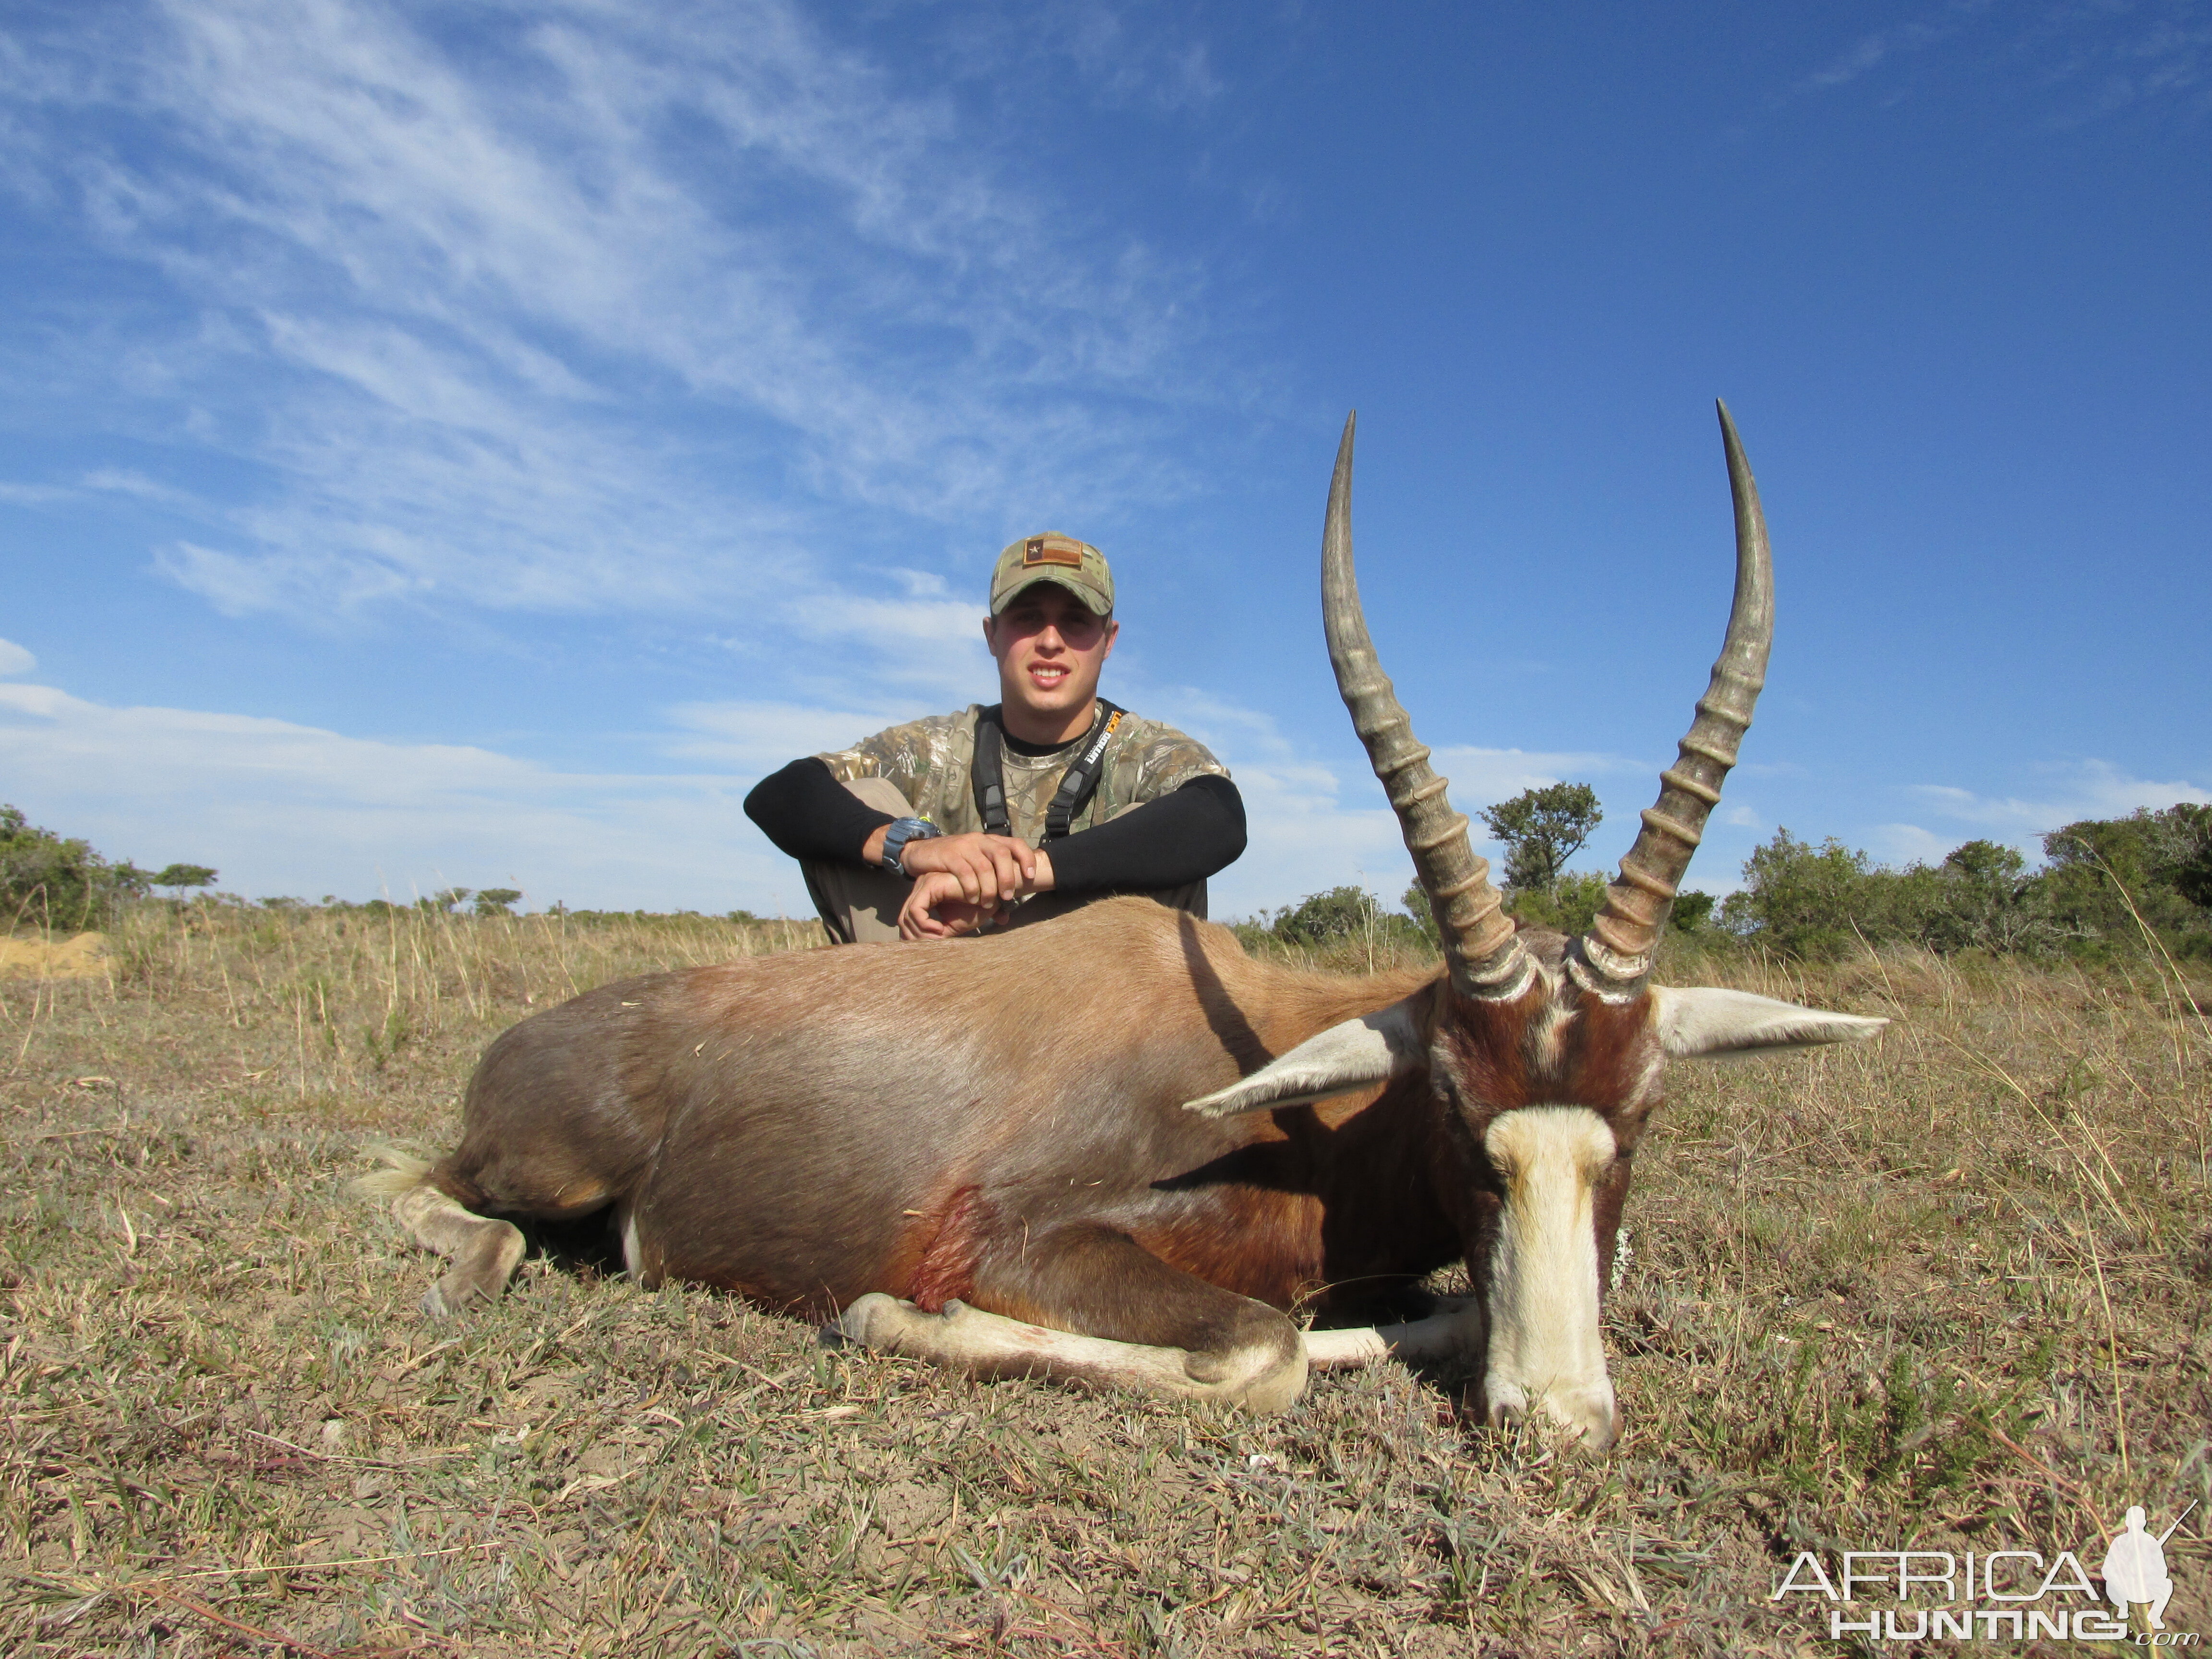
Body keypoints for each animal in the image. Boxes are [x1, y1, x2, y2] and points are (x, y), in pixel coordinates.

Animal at [367, 407, 1885, 1451]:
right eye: (1456, 1106)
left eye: (1643, 1111)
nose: (1559, 1418)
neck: (1292, 1107)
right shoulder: (1017, 1238)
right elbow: (1262, 1353)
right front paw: (892, 1316)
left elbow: (1408, 1314)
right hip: (546, 1170)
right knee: (413, 1182)